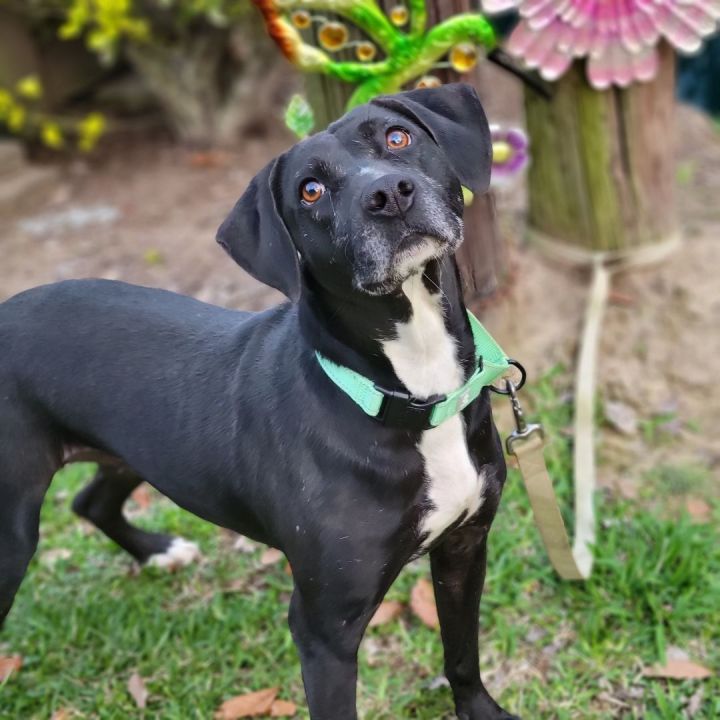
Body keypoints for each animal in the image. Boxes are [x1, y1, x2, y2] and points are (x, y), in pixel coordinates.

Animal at [0, 84, 516, 720]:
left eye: (398, 137)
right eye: (310, 190)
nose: (389, 193)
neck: (409, 392)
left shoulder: (465, 550)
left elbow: (462, 655)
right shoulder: (325, 628)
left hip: (135, 451)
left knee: (91, 501)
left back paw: (157, 551)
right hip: (10, 530)